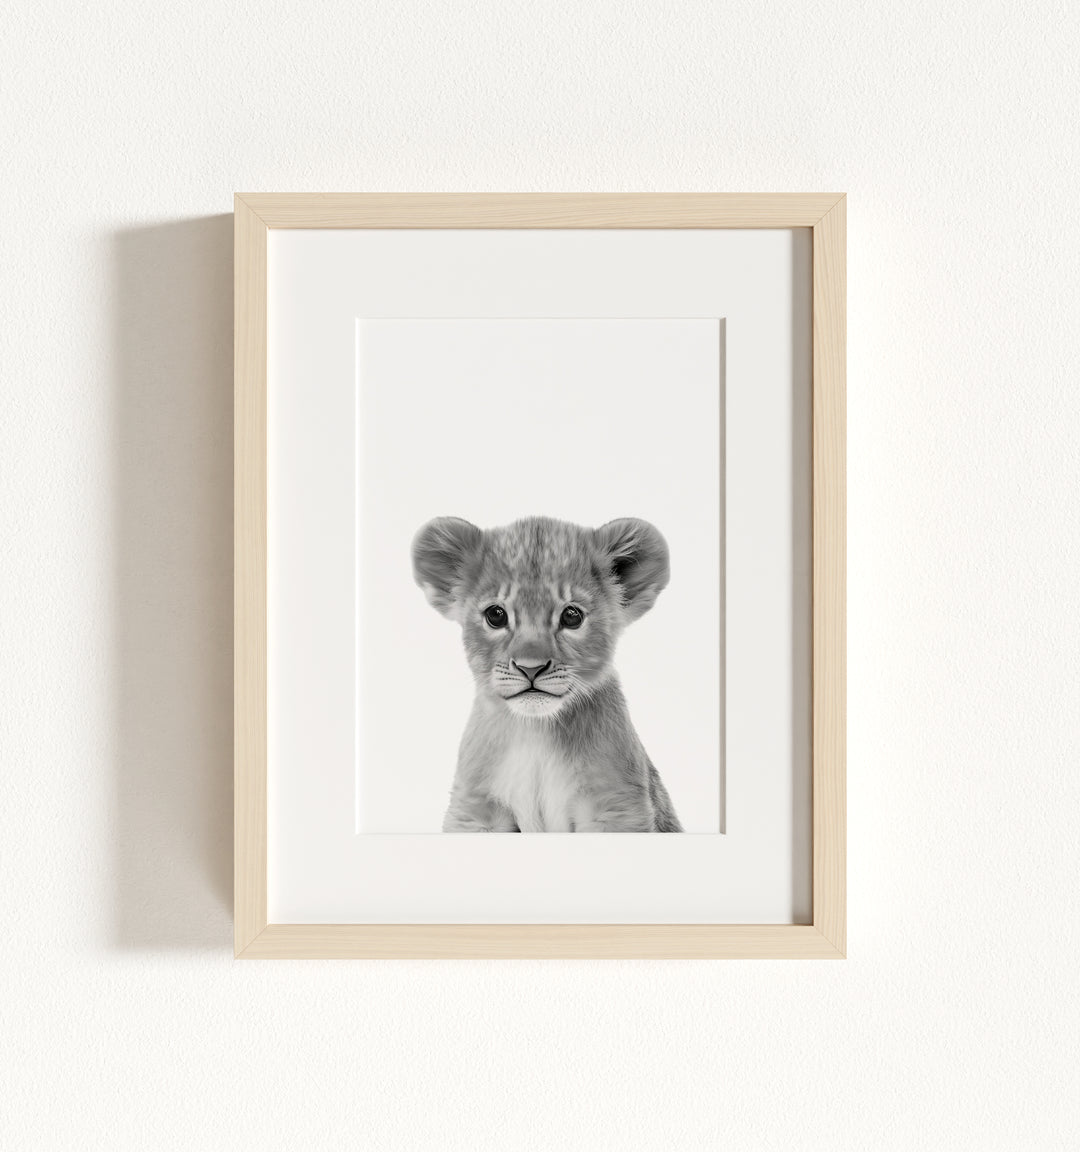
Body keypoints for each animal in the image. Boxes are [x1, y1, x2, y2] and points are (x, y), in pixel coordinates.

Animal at [411, 515, 683, 832]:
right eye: (496, 615)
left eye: (572, 616)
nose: (531, 668)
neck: (535, 732)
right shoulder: (475, 809)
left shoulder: (616, 806)